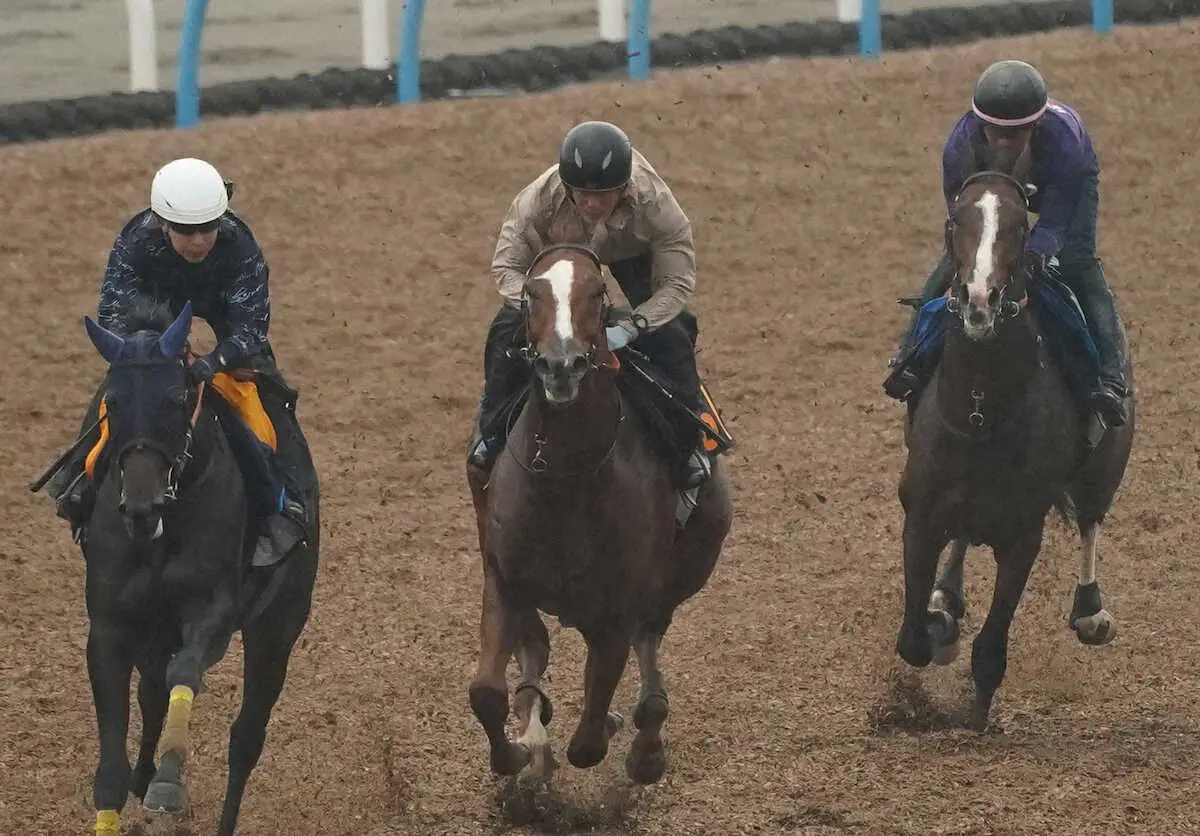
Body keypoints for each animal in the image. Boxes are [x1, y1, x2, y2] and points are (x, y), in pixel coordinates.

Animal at [77, 301, 321, 834]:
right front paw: (138, 779)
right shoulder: (110, 627)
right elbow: (111, 770)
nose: (141, 507)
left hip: (280, 622)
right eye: (113, 402)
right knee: (151, 692)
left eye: (177, 397)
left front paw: (169, 781)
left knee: (246, 738)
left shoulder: (215, 611)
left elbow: (186, 670)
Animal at [465, 239, 729, 782]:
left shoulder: (618, 611)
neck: (565, 482)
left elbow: (588, 739)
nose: (560, 366)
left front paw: (611, 731)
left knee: (649, 653)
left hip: (676, 579)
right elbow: (486, 692)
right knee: (536, 647)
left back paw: (645, 747)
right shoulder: (503, 578)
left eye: (597, 291)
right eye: (531, 292)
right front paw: (518, 753)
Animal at [897, 171, 1137, 729]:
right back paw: (948, 596)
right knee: (963, 541)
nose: (979, 299)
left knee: (1091, 518)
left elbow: (990, 649)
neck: (982, 410)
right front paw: (940, 623)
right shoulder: (921, 514)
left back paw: (1090, 611)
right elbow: (914, 640)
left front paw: (978, 714)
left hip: (1107, 463)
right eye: (954, 221)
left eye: (1021, 229)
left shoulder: (1024, 533)